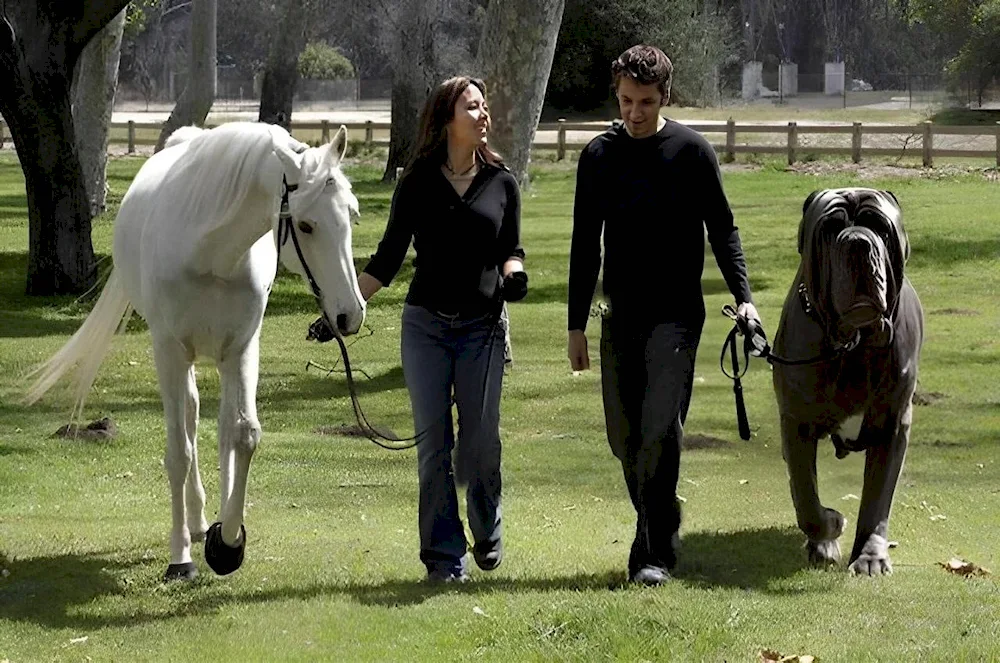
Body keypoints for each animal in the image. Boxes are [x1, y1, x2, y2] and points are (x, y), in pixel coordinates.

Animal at [25, 123, 366, 580]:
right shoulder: (170, 352)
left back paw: (210, 522)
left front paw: (228, 541)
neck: (210, 253)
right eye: (307, 225)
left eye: (352, 214)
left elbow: (244, 435)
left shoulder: (241, 348)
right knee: (188, 416)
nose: (349, 314)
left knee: (221, 427)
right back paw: (195, 521)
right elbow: (179, 453)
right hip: (181, 359)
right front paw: (181, 558)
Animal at [772, 185, 920, 576]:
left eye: (880, 227)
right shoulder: (796, 423)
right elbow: (806, 498)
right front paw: (831, 527)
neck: (854, 342)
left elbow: (877, 501)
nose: (857, 242)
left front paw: (870, 558)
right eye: (830, 227)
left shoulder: (892, 426)